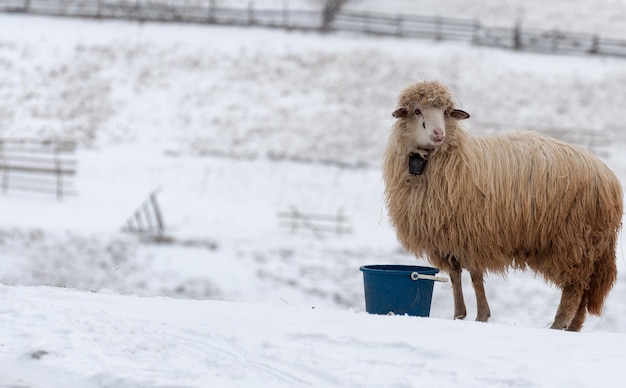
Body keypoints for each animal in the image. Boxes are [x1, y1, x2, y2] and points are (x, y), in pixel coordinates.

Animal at [382, 81, 620, 330]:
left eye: (446, 112)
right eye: (417, 111)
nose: (438, 133)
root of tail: (608, 176)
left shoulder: (473, 233)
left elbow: (476, 277)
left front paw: (481, 316)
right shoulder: (450, 238)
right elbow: (455, 276)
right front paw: (459, 315)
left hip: (574, 239)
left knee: (574, 287)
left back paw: (558, 323)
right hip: (588, 246)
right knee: (584, 290)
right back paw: (573, 327)